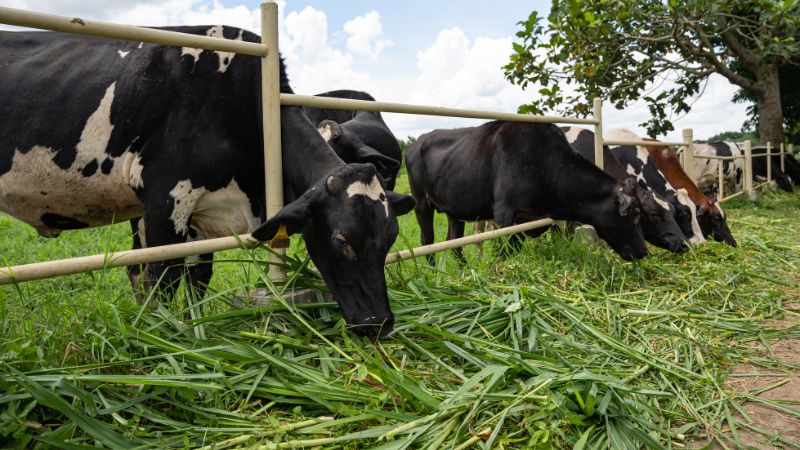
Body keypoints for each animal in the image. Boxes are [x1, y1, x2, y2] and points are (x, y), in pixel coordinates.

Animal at [0, 26, 415, 338]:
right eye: (342, 241)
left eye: (390, 237)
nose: (380, 323)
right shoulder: (165, 199)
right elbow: (162, 276)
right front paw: (165, 340)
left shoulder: (203, 212)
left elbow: (198, 276)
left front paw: (197, 327)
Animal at [405, 121, 649, 262]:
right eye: (635, 214)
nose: (644, 252)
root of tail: (416, 142)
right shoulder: (504, 213)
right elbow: (502, 251)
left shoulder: (526, 221)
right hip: (421, 203)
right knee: (427, 240)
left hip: (454, 209)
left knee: (453, 242)